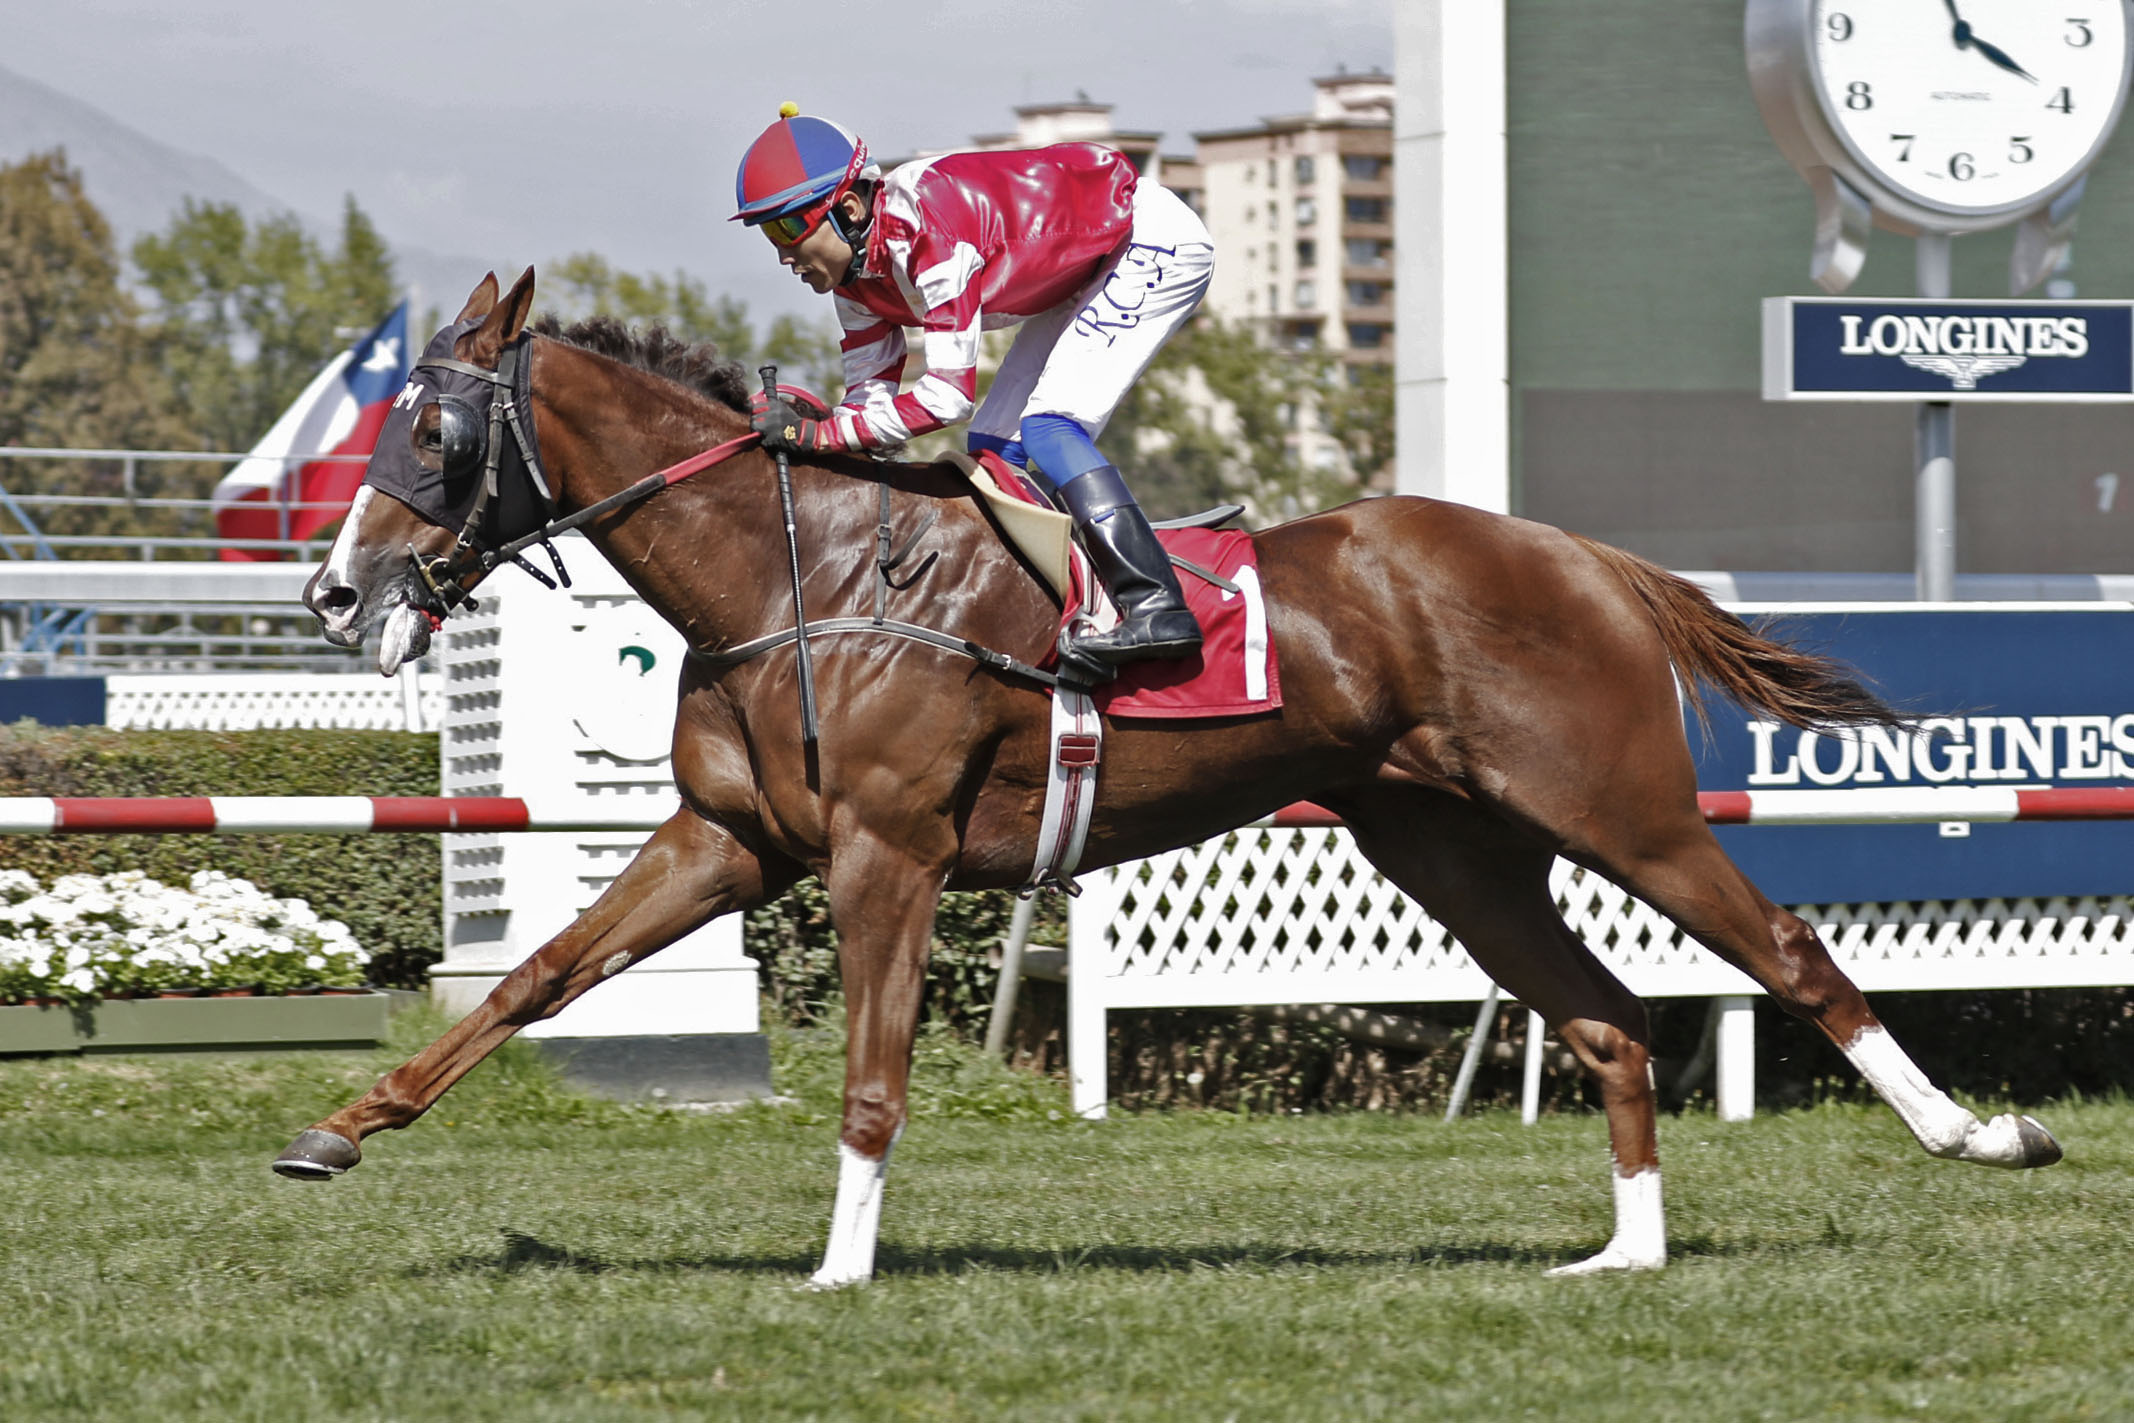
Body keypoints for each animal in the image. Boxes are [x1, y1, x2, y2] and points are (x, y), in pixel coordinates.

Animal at [276, 269, 2061, 1286]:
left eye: (432, 432)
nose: (335, 595)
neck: (802, 568)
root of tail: (1578, 553)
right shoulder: (731, 839)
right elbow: (536, 980)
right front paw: (337, 1132)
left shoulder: (885, 850)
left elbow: (871, 1076)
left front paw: (840, 1272)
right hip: (1448, 844)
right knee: (1610, 1015)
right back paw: (1622, 1251)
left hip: (1614, 804)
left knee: (1791, 951)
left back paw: (1980, 1137)